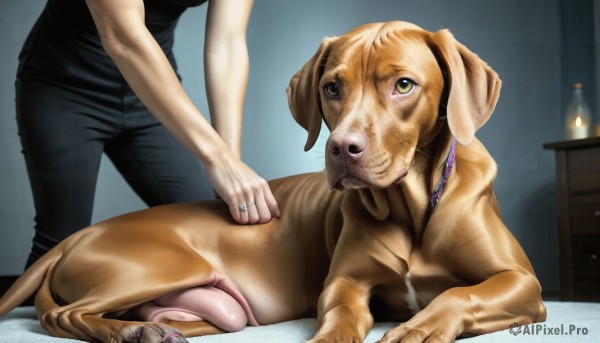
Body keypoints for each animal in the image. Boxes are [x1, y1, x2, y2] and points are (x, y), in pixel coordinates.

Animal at [0, 22, 544, 343]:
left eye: (404, 85)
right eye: (332, 87)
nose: (341, 148)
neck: (410, 205)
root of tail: (79, 235)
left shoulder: (522, 282)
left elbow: (460, 294)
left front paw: (420, 328)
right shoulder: (345, 284)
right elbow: (340, 314)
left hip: (215, 309)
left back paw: (147, 329)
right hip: (157, 267)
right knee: (60, 317)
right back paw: (134, 334)